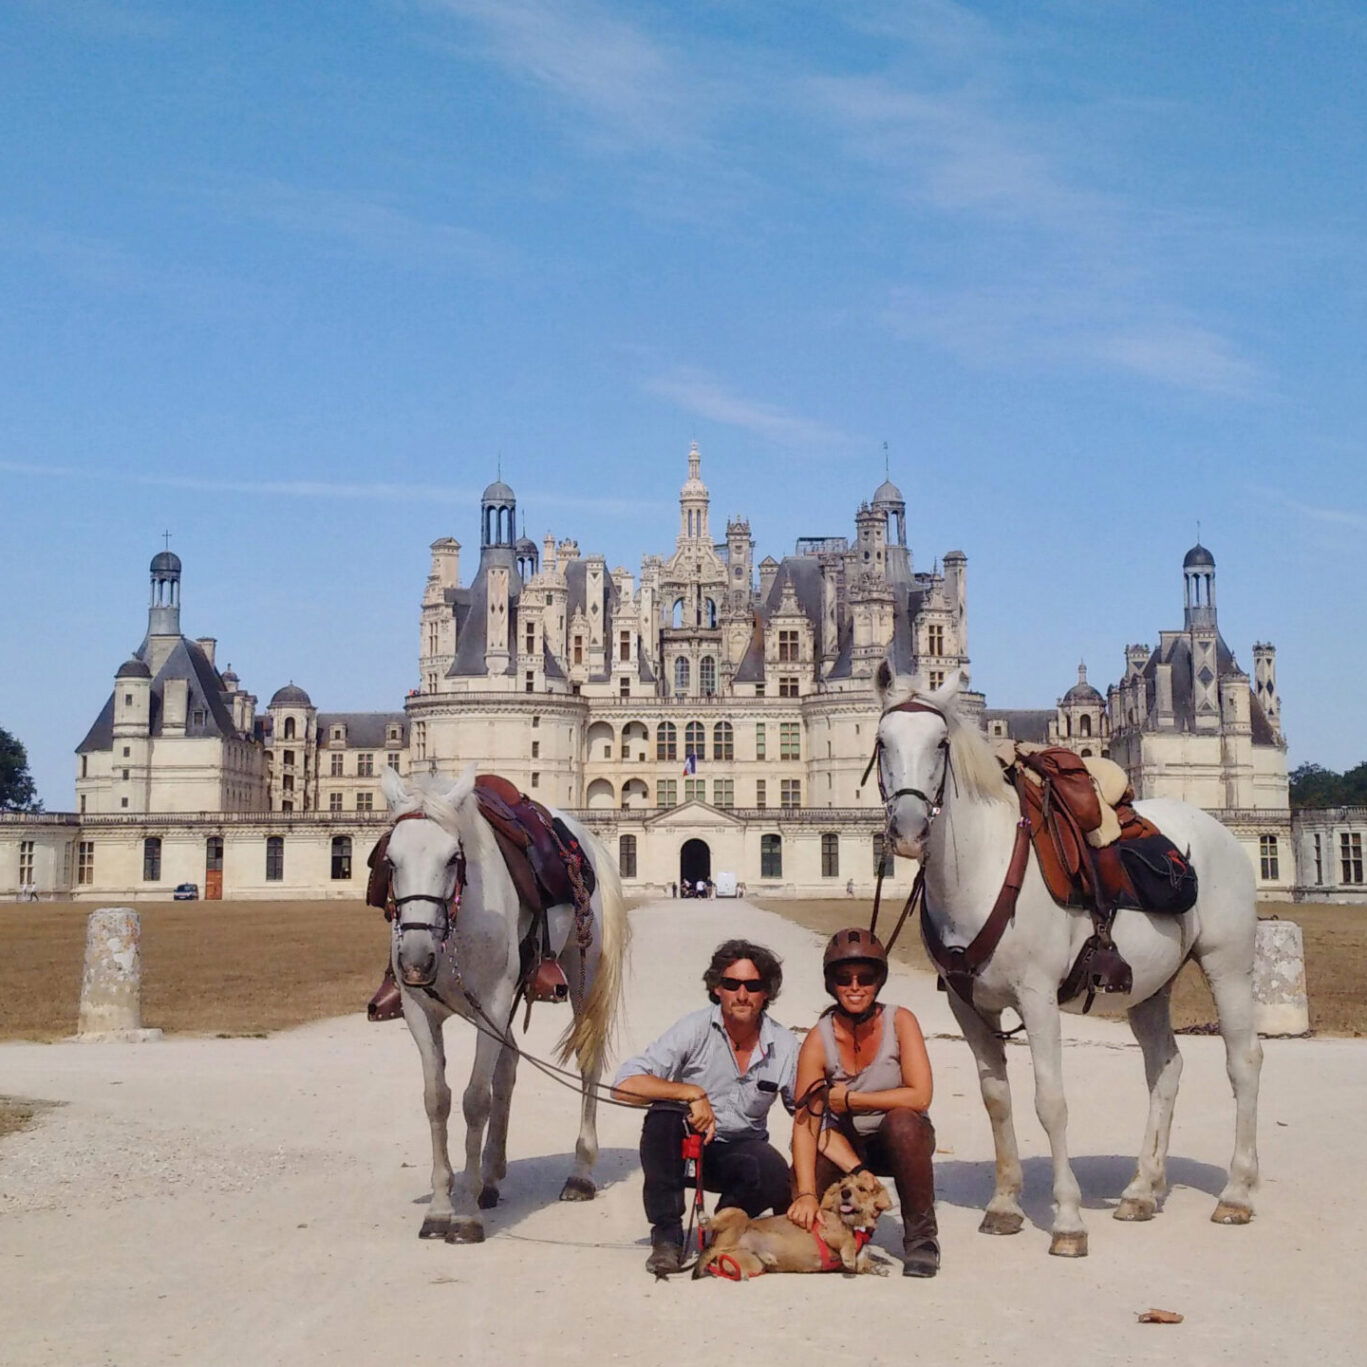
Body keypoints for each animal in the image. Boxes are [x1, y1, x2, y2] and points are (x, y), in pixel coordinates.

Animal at [377, 765, 628, 1245]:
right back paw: (491, 1178)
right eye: (389, 861)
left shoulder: (491, 1003)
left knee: (587, 1060)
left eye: (452, 859)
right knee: (507, 1067)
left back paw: (579, 1174)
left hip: (581, 973)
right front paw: (441, 1207)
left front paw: (466, 1217)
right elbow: (437, 1098)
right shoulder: (420, 1010)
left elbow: (475, 1100)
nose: (416, 959)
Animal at [694, 1170, 892, 1279]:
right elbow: (848, 1240)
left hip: (750, 1263)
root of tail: (720, 1245)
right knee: (710, 1225)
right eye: (843, 1186)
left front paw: (877, 1267)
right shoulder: (829, 1232)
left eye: (862, 1189)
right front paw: (851, 1255)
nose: (845, 1193)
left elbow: (864, 1263)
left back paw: (762, 1259)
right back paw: (703, 1218)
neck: (855, 1225)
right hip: (738, 1213)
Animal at [872, 664, 1262, 1257]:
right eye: (881, 741)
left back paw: (1237, 1193)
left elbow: (1050, 1102)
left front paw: (1068, 1221)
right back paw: (1142, 1190)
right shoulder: (969, 1006)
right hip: (1150, 985)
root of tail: (1212, 823)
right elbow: (997, 1099)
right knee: (1165, 1067)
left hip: (1228, 966)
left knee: (1243, 1062)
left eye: (941, 742)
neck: (978, 870)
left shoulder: (1037, 998)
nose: (910, 832)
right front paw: (1004, 1205)